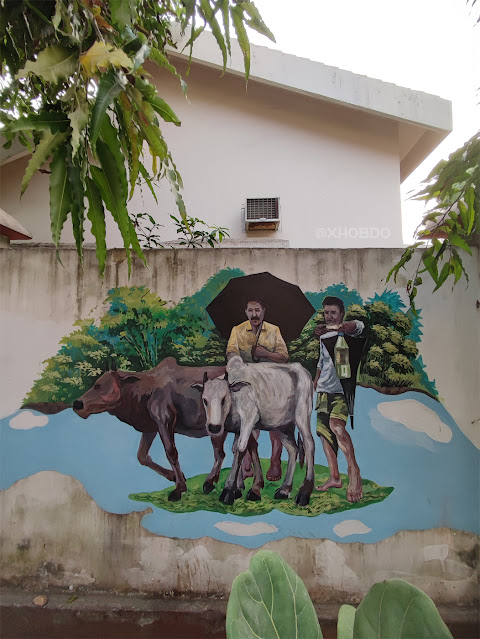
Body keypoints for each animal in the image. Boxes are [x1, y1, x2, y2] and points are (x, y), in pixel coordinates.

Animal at [73, 358, 264, 502]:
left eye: (98, 385)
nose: (77, 404)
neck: (140, 396)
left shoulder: (165, 421)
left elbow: (171, 453)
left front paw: (179, 488)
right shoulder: (151, 427)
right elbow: (142, 456)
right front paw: (175, 476)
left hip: (221, 428)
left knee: (226, 452)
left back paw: (217, 483)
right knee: (248, 447)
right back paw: (248, 486)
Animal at [195, 358, 316, 508]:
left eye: (224, 399)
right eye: (205, 400)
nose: (214, 427)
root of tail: (302, 370)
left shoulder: (249, 417)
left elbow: (241, 448)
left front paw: (229, 490)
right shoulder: (238, 428)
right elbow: (238, 449)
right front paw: (239, 489)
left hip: (302, 415)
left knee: (309, 444)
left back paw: (304, 492)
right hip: (283, 426)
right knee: (293, 449)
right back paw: (284, 489)